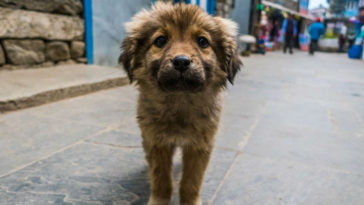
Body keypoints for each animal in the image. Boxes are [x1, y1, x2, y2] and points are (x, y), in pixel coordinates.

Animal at [119, 2, 242, 205]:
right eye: (161, 40)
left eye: (202, 41)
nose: (182, 62)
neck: (180, 100)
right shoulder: (156, 141)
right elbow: (161, 178)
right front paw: (159, 200)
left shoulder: (200, 145)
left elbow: (191, 182)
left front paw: (190, 201)